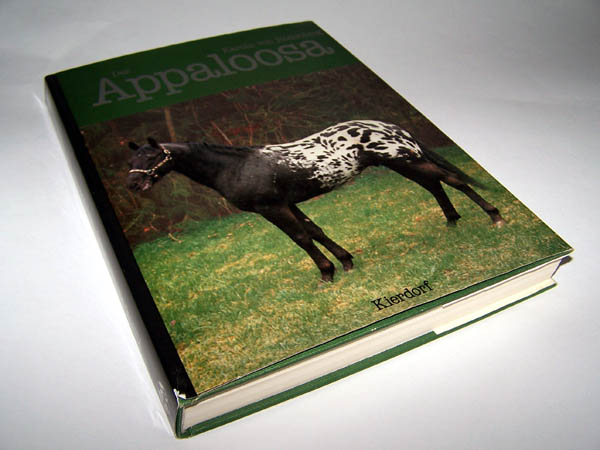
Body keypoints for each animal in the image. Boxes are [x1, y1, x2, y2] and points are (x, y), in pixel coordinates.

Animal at [127, 120, 505, 281]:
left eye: (152, 157)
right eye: (134, 158)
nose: (132, 184)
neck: (236, 167)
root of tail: (390, 127)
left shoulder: (271, 208)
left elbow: (301, 238)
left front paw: (327, 274)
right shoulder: (287, 204)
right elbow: (315, 231)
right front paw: (346, 262)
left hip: (403, 160)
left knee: (450, 180)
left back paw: (495, 216)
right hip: (402, 163)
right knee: (435, 185)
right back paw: (452, 221)